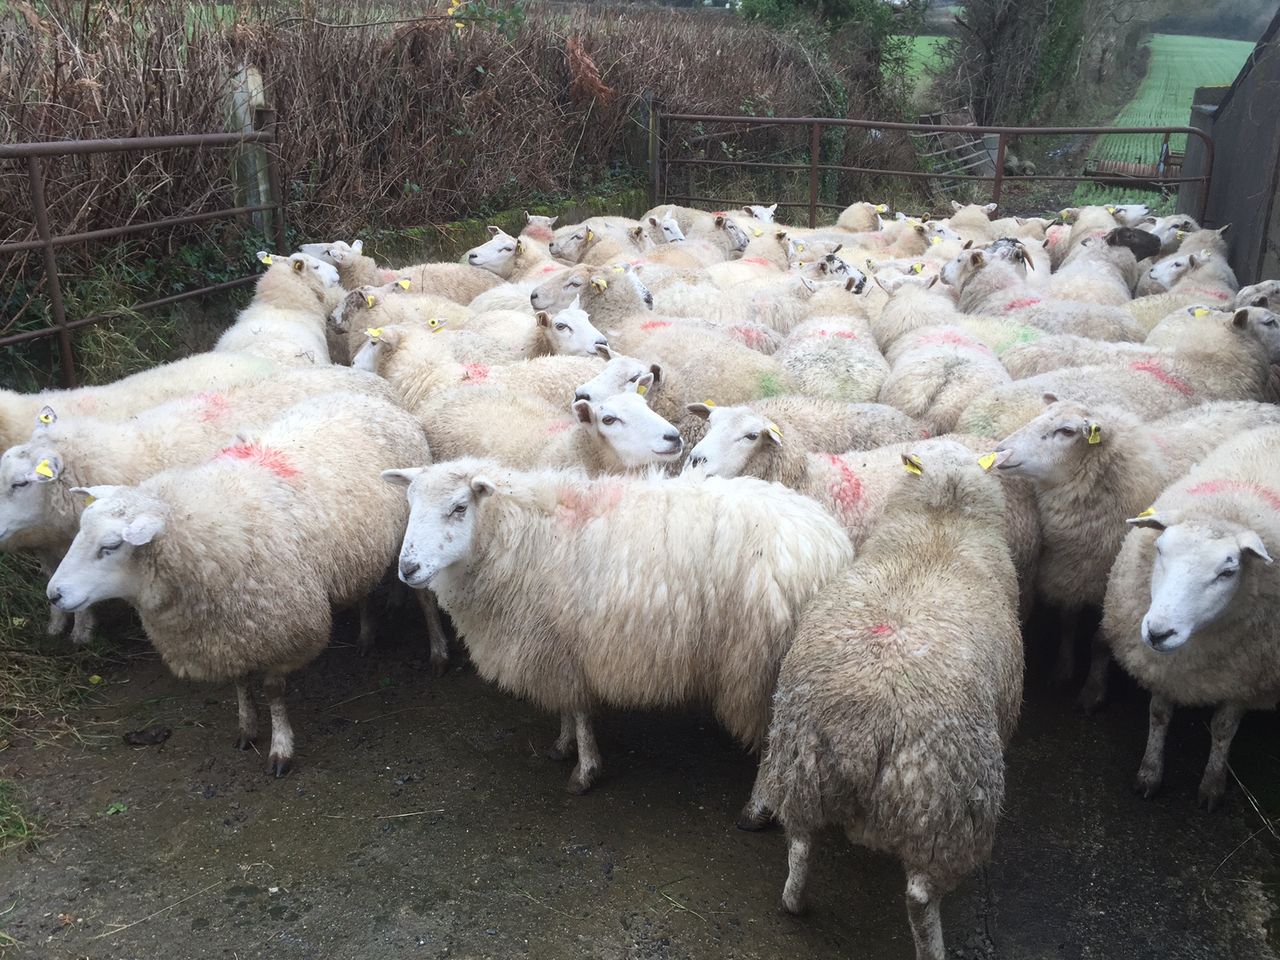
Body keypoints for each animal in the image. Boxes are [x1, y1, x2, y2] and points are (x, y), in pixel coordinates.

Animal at [45, 389, 447, 776]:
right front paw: (247, 728)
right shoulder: (231, 632)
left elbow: (273, 690)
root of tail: (376, 402)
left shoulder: (283, 628)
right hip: (361, 545)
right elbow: (240, 682)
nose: (54, 594)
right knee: (363, 587)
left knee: (425, 600)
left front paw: (280, 748)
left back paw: (438, 651)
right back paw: (366, 635)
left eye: (111, 546)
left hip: (410, 543)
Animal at [384, 457, 853, 794]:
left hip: (760, 665)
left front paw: (584, 770)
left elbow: (579, 711)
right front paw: (562, 746)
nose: (407, 569)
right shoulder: (559, 647)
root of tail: (830, 541)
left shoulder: (563, 645)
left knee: (773, 745)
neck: (518, 533)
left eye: (459, 508)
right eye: (410, 504)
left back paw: (756, 809)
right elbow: (568, 709)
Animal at [746, 441, 1022, 960]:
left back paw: (794, 900)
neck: (941, 522)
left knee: (801, 841)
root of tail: (865, 729)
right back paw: (932, 947)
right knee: (919, 895)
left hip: (801, 763)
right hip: (940, 810)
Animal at [994, 397, 1280, 697]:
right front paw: (1063, 669)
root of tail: (1266, 406)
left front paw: (1093, 690)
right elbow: (1068, 624)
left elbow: (1100, 641)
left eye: (1066, 431)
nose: (1000, 450)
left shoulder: (1112, 586)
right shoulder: (1074, 571)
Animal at [1099, 425, 1280, 811]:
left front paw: (1212, 784)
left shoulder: (1247, 678)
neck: (1225, 510)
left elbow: (1224, 728)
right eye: (1159, 549)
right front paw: (1149, 774)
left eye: (1228, 572)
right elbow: (1159, 714)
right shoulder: (1164, 668)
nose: (1159, 632)